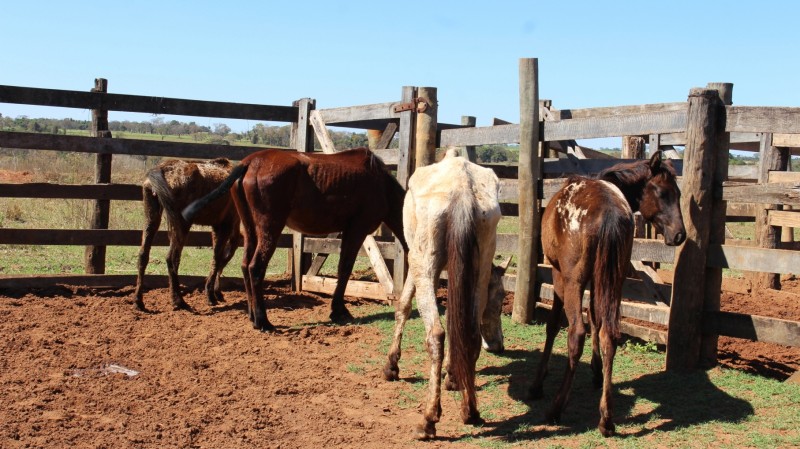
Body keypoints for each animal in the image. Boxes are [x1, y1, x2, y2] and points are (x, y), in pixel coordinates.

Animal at [134, 158, 239, 312]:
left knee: (143, 255)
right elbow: (217, 259)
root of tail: (163, 169)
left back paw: (139, 301)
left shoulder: (218, 226)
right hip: (182, 224)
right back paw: (179, 301)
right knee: (171, 258)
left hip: (152, 217)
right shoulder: (224, 225)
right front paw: (211, 295)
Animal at [181, 147, 406, 328]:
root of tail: (250, 162)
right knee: (255, 267)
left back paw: (253, 316)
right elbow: (344, 270)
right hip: (270, 228)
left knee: (245, 266)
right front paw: (339, 311)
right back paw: (263, 321)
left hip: (251, 230)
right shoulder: (356, 230)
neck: (381, 185)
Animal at [382, 149, 506, 440]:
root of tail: (461, 187)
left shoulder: (418, 261)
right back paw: (470, 411)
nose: (499, 344)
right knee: (469, 332)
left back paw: (428, 420)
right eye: (498, 304)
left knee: (436, 334)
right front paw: (453, 376)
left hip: (424, 263)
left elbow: (403, 306)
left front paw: (392, 365)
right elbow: (454, 317)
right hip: (479, 267)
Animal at [528, 150, 684, 434]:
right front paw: (596, 371)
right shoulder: (600, 279)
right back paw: (606, 418)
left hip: (574, 281)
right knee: (609, 334)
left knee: (576, 332)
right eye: (662, 192)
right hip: (614, 279)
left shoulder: (558, 274)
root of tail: (609, 211)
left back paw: (556, 408)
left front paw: (537, 383)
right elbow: (596, 319)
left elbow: (554, 325)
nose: (679, 234)